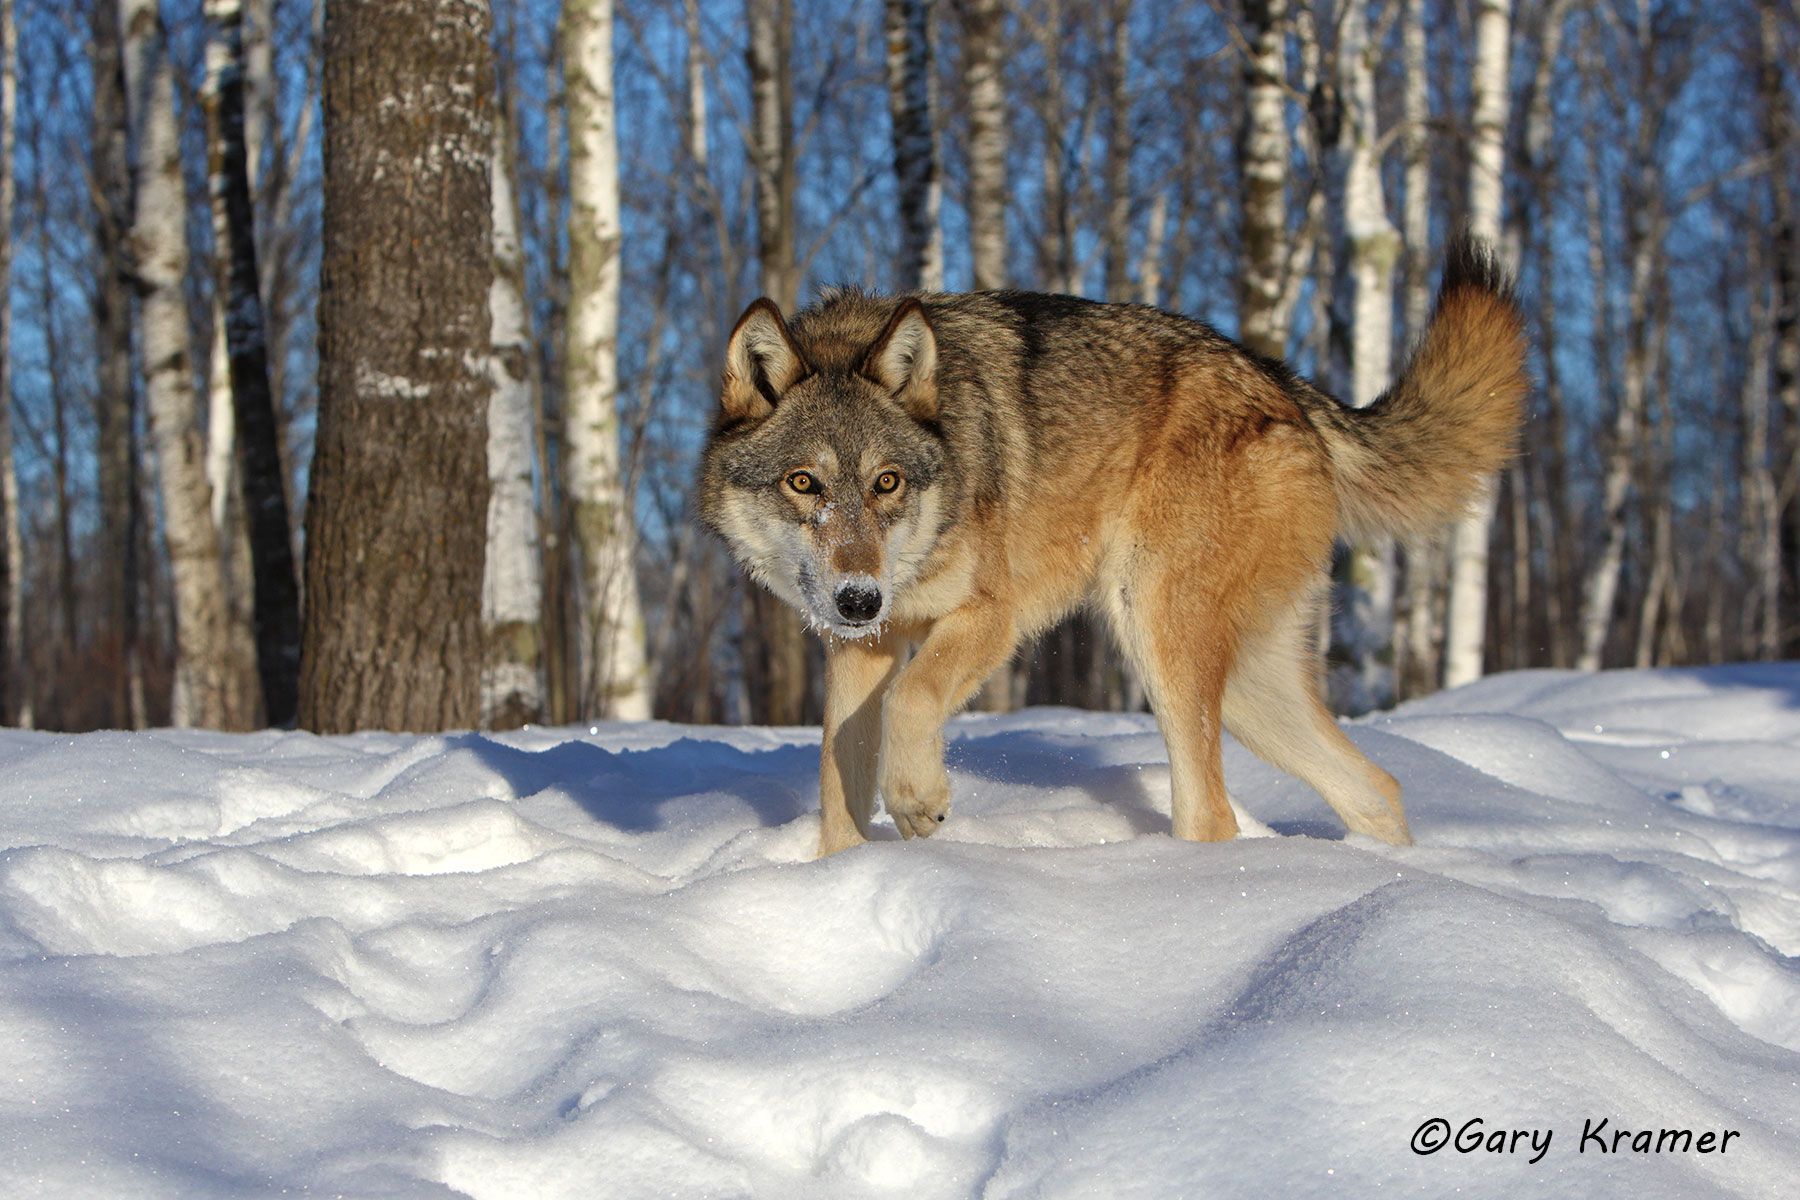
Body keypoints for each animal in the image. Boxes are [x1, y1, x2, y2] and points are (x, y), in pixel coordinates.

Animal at [698, 237, 1528, 856]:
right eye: (804, 483)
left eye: (887, 483)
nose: (858, 598)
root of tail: (1288, 389)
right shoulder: (861, 649)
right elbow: (838, 778)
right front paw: (842, 880)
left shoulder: (992, 618)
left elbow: (914, 699)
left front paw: (919, 800)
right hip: (1252, 692)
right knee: (1376, 788)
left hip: (1161, 639)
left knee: (1213, 814)